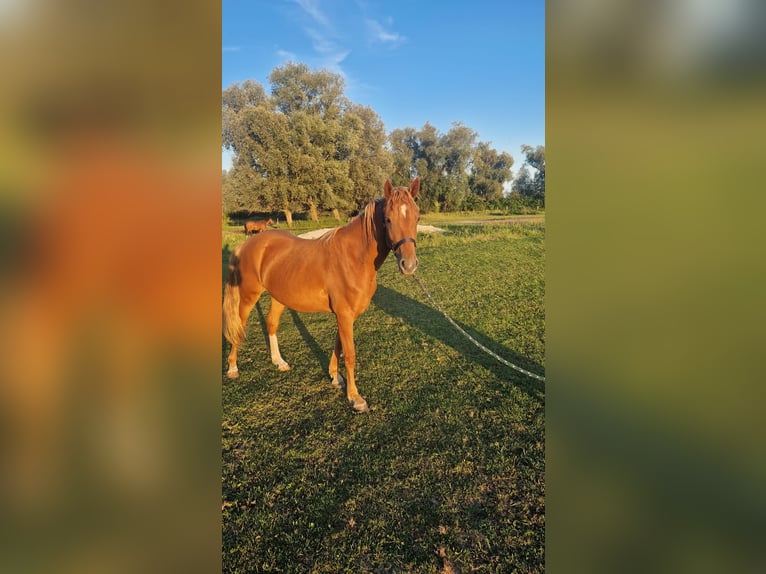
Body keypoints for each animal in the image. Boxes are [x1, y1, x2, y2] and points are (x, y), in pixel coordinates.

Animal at [225, 178, 424, 412]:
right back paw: (232, 368)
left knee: (271, 322)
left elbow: (338, 346)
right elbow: (349, 354)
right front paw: (355, 398)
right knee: (238, 326)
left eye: (417, 217)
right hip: (249, 296)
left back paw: (279, 362)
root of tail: (247, 244)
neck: (353, 258)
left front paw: (335, 378)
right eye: (388, 219)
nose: (408, 265)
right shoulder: (344, 314)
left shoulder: (344, 315)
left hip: (279, 296)